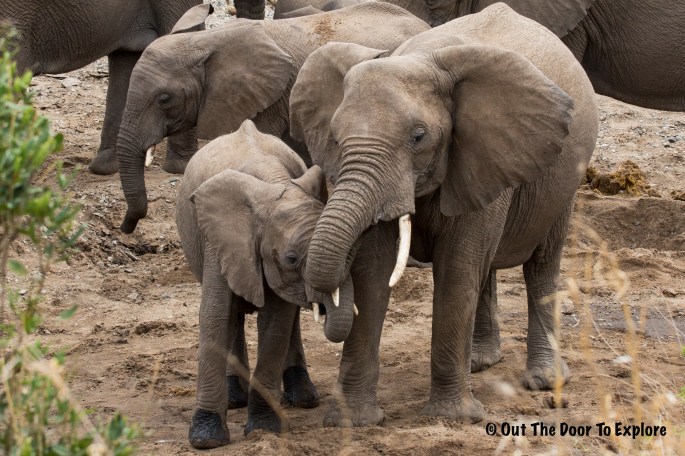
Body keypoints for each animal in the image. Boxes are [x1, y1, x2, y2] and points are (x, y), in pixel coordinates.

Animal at [177, 119, 355, 448]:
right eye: (291, 259)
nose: (323, 307)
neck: (274, 184)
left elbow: (276, 323)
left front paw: (264, 429)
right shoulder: (220, 239)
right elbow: (214, 313)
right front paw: (206, 439)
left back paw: (303, 399)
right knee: (232, 315)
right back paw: (235, 398)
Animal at [289, 3, 599, 425]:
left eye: (418, 137)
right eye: (335, 138)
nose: (323, 304)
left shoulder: (482, 151)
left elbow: (456, 269)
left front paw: (452, 418)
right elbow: (373, 271)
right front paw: (353, 422)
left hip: (564, 177)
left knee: (541, 263)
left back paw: (546, 381)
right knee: (487, 267)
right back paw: (479, 362)